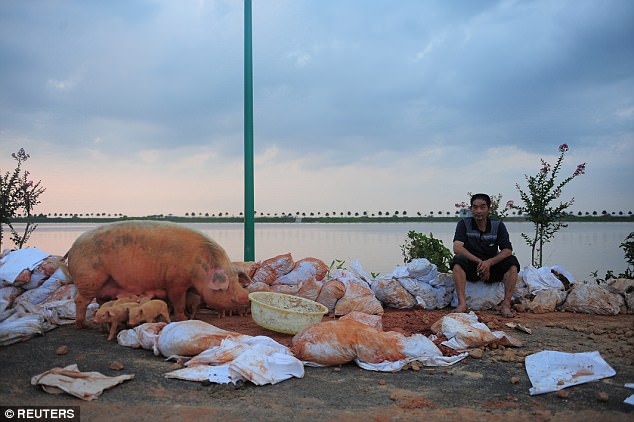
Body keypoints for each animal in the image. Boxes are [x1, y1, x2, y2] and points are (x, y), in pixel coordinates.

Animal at [66, 219, 249, 328]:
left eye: (237, 280)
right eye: (227, 287)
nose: (246, 296)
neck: (199, 268)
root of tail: (73, 246)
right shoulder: (175, 282)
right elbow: (179, 302)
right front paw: (182, 319)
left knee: (99, 300)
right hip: (88, 278)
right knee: (80, 300)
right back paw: (83, 325)